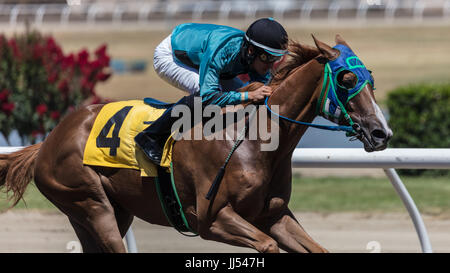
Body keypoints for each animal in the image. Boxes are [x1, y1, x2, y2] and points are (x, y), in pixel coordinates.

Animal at [0, 34, 390, 253]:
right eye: (347, 78)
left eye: (371, 78)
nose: (381, 133)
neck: (254, 139)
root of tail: (48, 140)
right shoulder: (212, 220)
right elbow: (266, 245)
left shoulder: (273, 215)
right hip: (90, 203)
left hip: (108, 211)